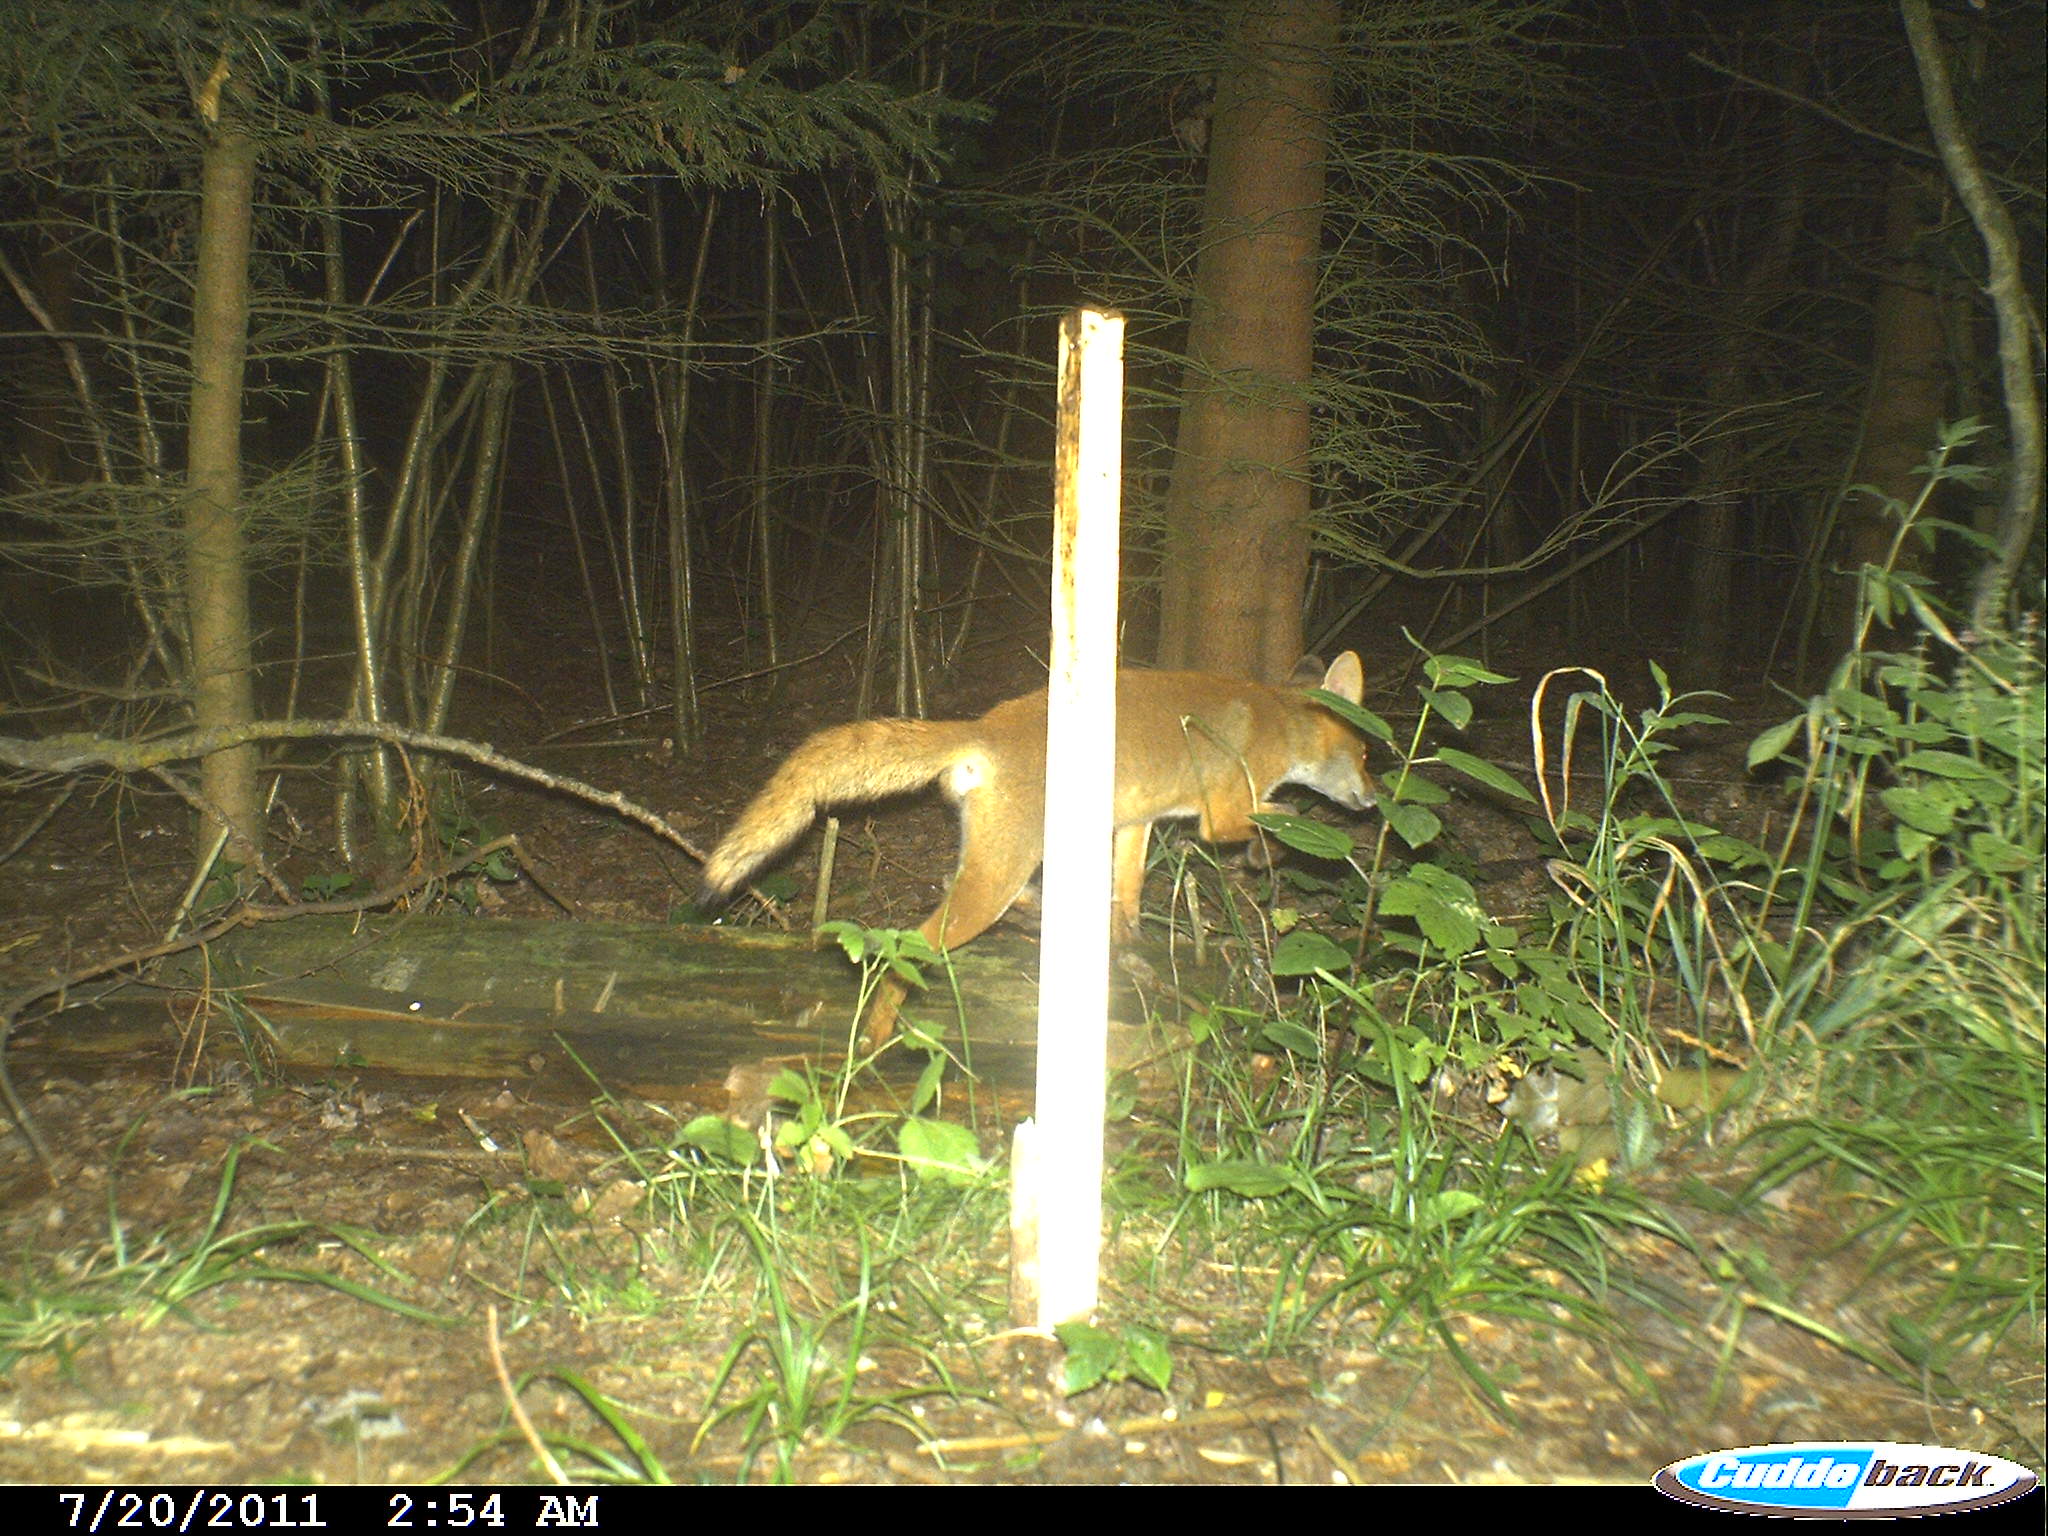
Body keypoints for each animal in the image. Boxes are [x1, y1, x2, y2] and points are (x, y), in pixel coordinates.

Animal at [695, 651, 1375, 1044]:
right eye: (1367, 753)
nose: (1372, 802)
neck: (1279, 721)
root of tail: (984, 727)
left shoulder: (1139, 823)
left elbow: (1128, 896)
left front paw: (1129, 947)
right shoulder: (1223, 814)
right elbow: (1284, 825)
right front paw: (1268, 857)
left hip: (998, 859)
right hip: (993, 880)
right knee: (909, 949)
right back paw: (877, 1036)